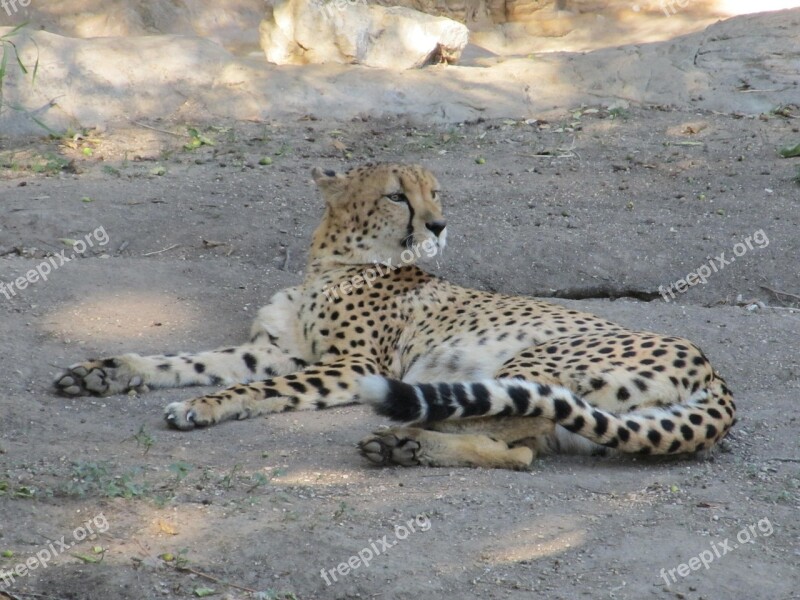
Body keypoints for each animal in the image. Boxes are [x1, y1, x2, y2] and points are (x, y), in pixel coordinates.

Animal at [53, 163, 736, 468]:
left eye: (436, 194)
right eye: (396, 195)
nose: (439, 224)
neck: (332, 262)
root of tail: (713, 370)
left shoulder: (352, 367)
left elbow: (253, 388)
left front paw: (204, 406)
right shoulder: (277, 349)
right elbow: (186, 360)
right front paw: (108, 371)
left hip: (532, 360)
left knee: (524, 429)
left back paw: (407, 438)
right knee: (527, 444)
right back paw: (404, 444)